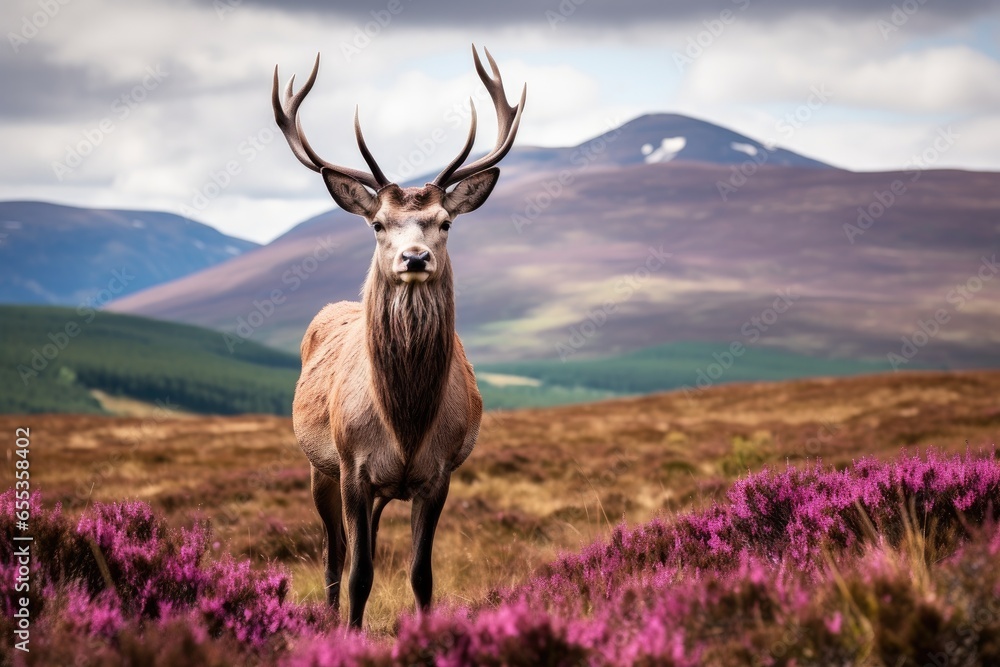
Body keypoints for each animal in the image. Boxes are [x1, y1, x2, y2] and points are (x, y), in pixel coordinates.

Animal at [272, 46, 525, 628]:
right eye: (378, 224)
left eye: (445, 222)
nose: (415, 257)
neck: (405, 422)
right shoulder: (352, 468)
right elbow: (360, 573)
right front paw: (350, 632)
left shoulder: (438, 474)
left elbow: (420, 575)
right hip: (319, 467)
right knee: (334, 554)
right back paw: (327, 613)